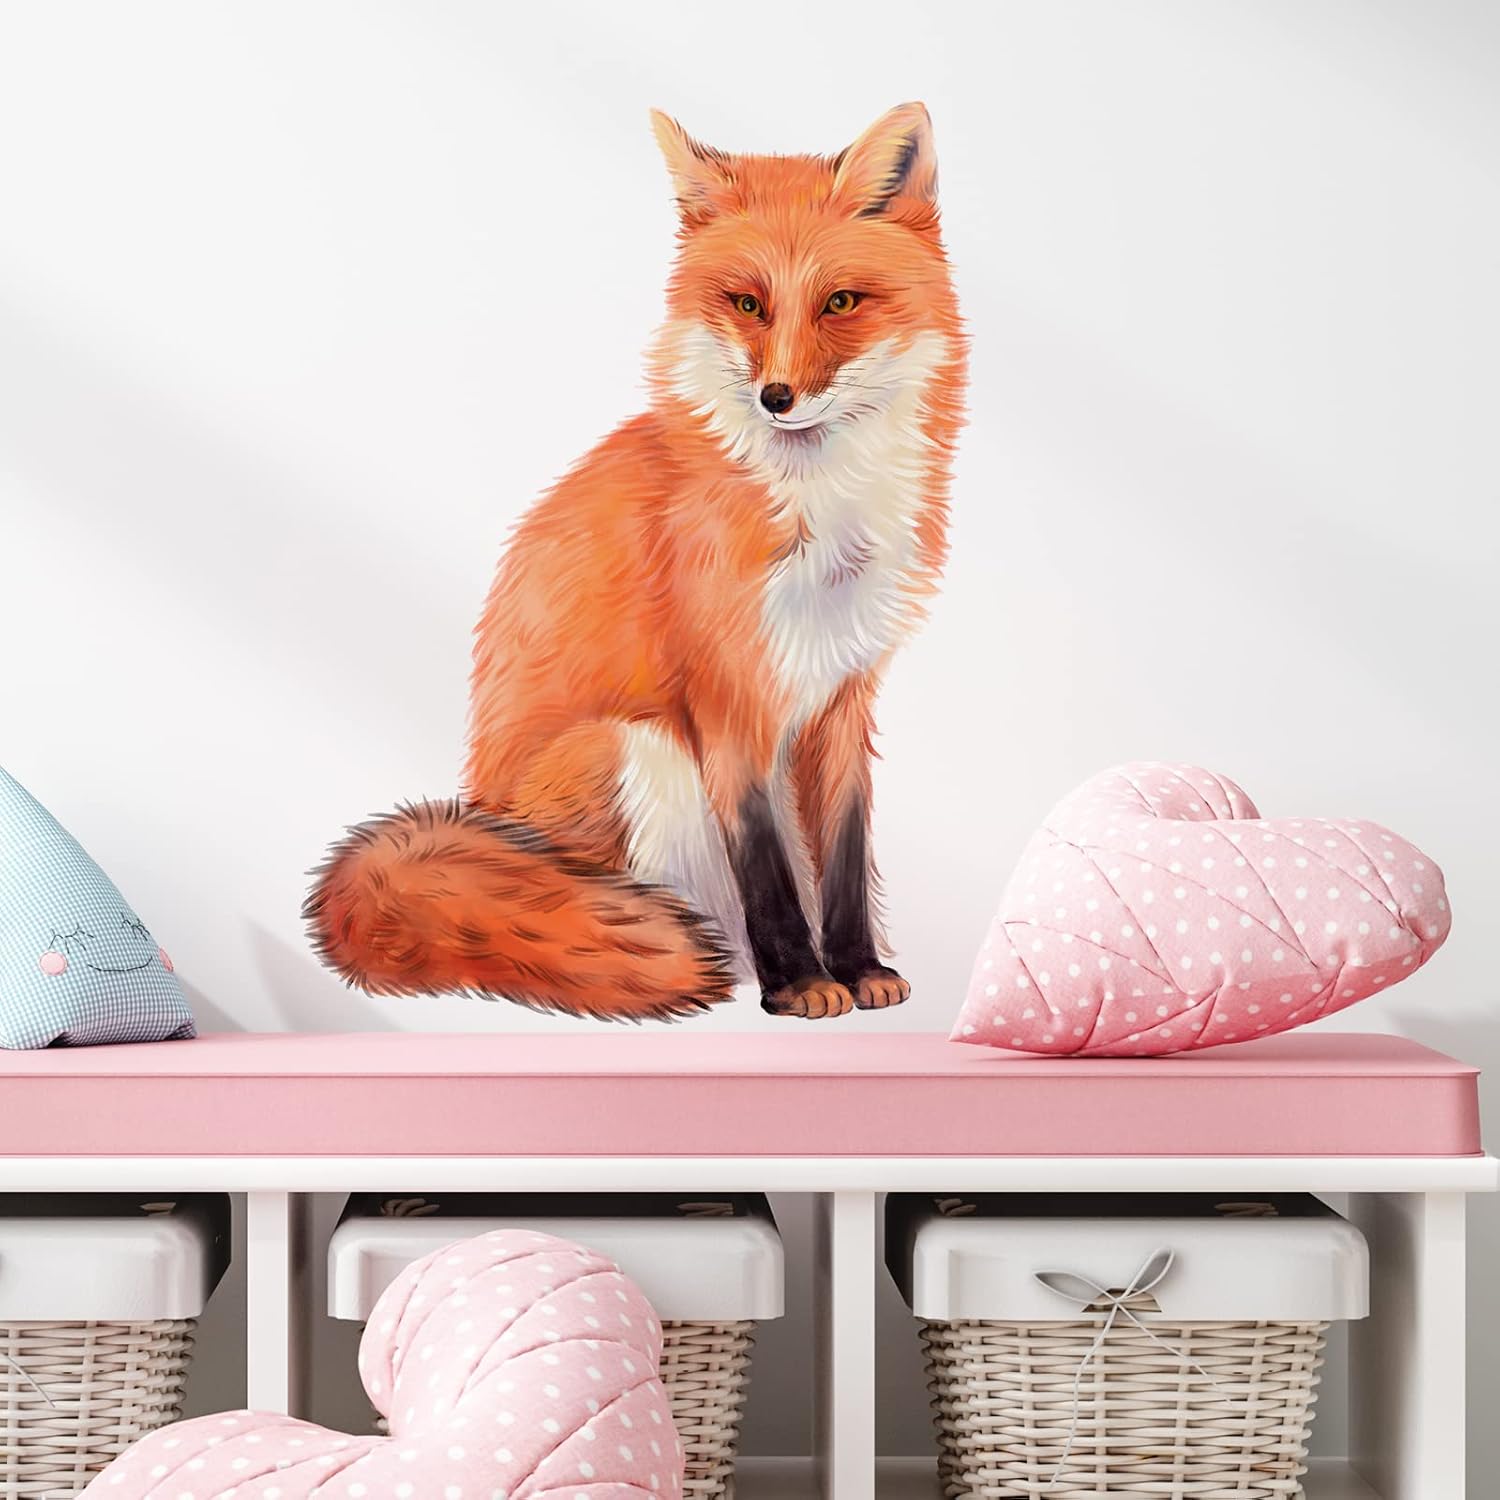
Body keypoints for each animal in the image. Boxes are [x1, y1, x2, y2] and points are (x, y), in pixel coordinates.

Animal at [304, 102, 967, 1022]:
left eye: (840, 302)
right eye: (748, 304)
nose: (777, 398)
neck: (818, 519)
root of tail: (476, 808)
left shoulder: (844, 694)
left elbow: (841, 856)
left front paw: (860, 969)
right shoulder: (728, 696)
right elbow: (765, 864)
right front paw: (800, 982)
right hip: (634, 748)